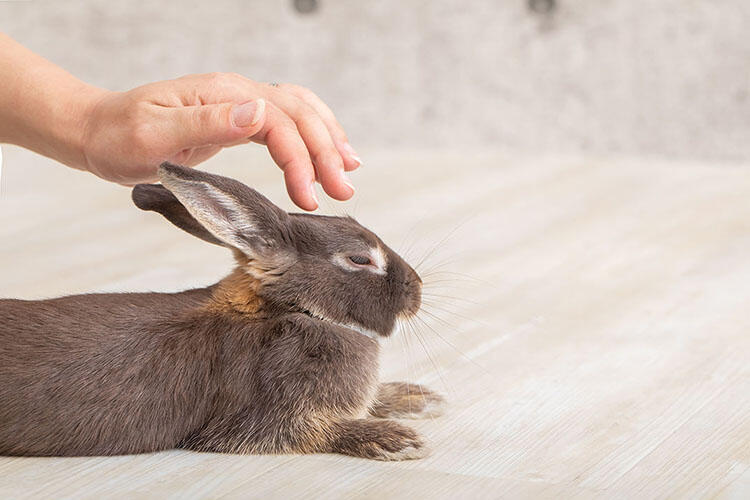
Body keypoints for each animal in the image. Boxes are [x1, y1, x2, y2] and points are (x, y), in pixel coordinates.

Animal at [0, 162, 446, 458]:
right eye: (359, 259)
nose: (417, 291)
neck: (294, 311)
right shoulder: (263, 417)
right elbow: (315, 431)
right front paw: (395, 440)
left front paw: (416, 399)